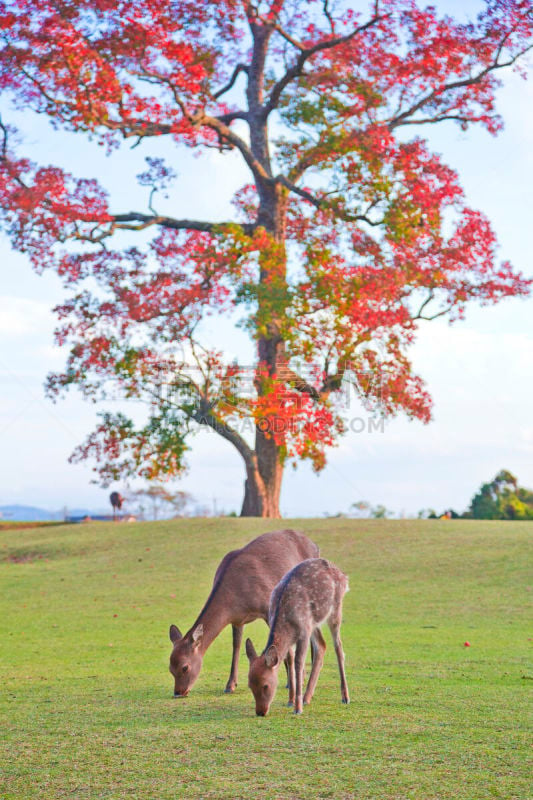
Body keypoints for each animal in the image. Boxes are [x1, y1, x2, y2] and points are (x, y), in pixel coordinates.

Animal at [167, 532, 316, 700]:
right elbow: (236, 646)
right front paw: (230, 685)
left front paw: (291, 683)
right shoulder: (237, 620)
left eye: (185, 667)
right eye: (170, 668)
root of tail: (314, 544)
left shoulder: (268, 607)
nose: (178, 692)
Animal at [244, 556, 350, 720]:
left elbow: (299, 663)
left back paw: (345, 697)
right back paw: (307, 697)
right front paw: (291, 700)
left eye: (265, 685)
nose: (260, 712)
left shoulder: (303, 633)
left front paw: (297, 708)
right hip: (313, 623)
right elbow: (289, 660)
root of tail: (343, 575)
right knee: (322, 645)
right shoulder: (297, 635)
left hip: (335, 610)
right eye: (250, 685)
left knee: (338, 647)